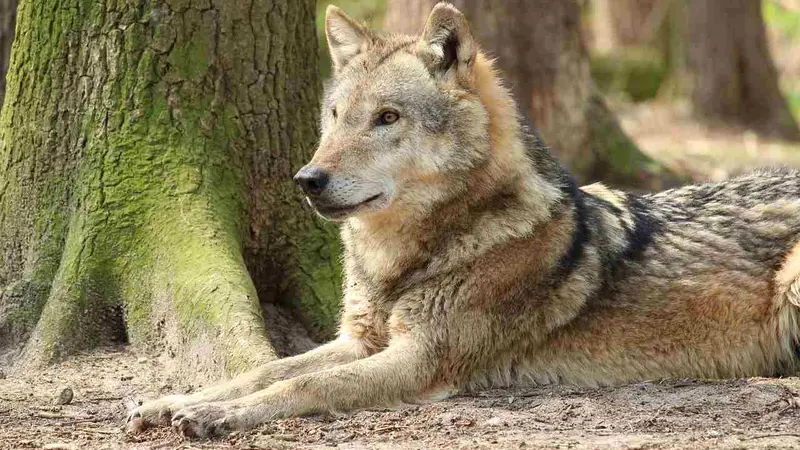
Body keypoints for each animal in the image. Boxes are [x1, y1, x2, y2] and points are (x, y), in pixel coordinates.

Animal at [127, 2, 800, 438]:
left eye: (388, 118)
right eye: (337, 116)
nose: (306, 180)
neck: (404, 262)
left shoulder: (420, 360)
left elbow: (304, 387)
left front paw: (213, 416)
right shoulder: (357, 340)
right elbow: (264, 368)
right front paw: (175, 399)